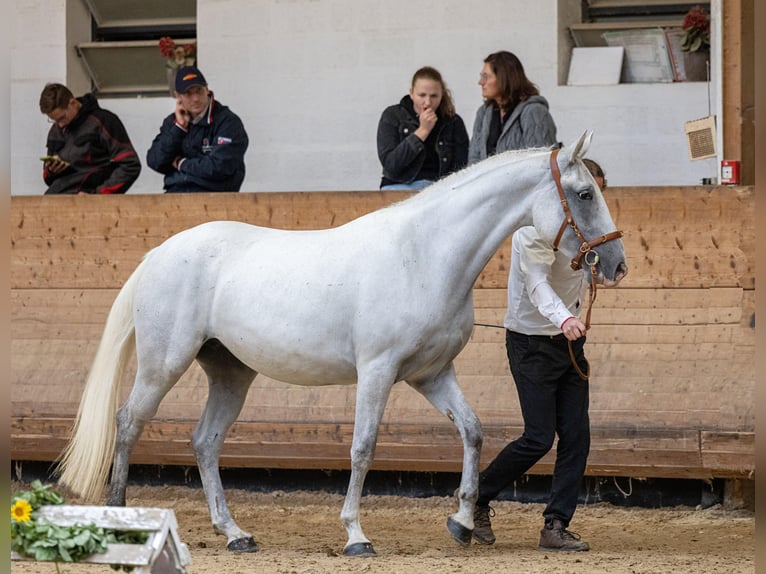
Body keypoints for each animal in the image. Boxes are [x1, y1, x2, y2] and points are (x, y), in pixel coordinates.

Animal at [61, 132, 632, 560]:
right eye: (584, 194)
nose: (617, 263)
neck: (424, 254)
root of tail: (159, 252)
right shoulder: (376, 371)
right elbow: (362, 448)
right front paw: (357, 536)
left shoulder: (431, 374)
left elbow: (472, 432)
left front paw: (464, 521)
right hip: (165, 363)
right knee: (128, 423)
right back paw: (122, 523)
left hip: (231, 372)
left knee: (204, 441)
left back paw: (236, 534)